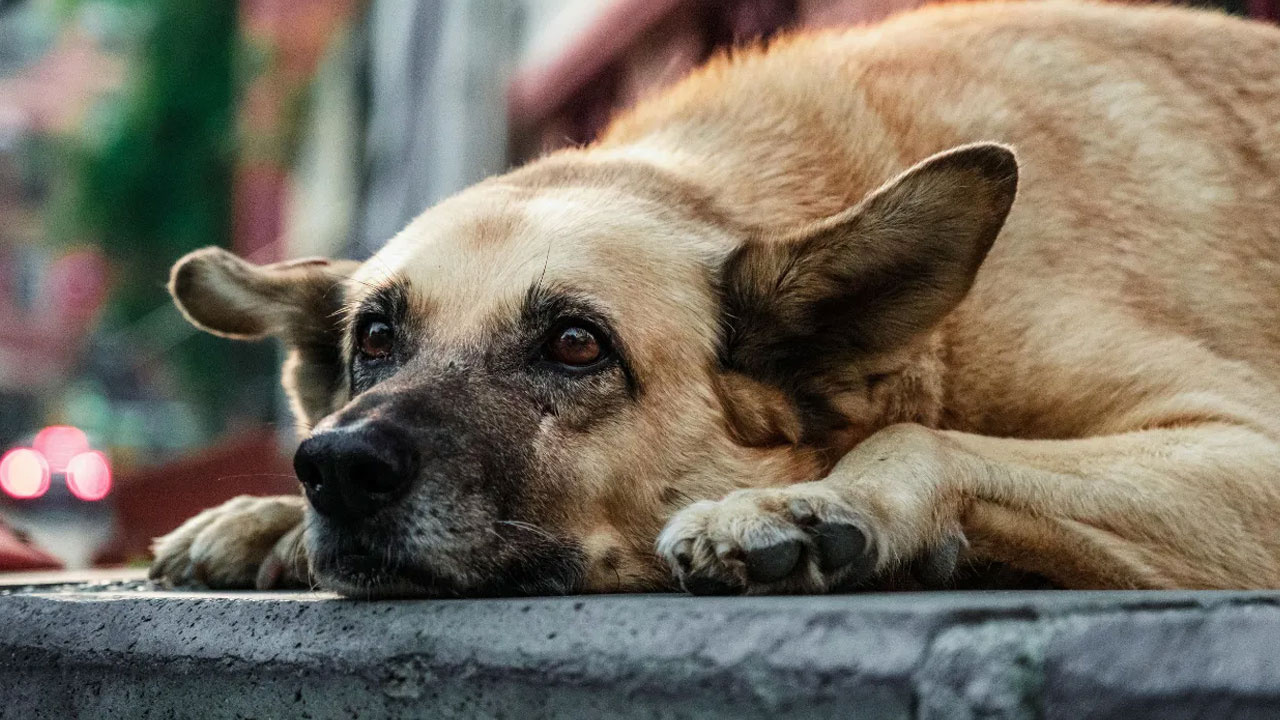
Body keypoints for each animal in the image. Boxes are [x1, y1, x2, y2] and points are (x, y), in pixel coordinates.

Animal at [147, 0, 1280, 594]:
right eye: (375, 337)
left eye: (576, 344)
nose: (335, 467)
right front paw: (266, 519)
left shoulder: (1247, 448)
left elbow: (919, 438)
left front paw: (812, 502)